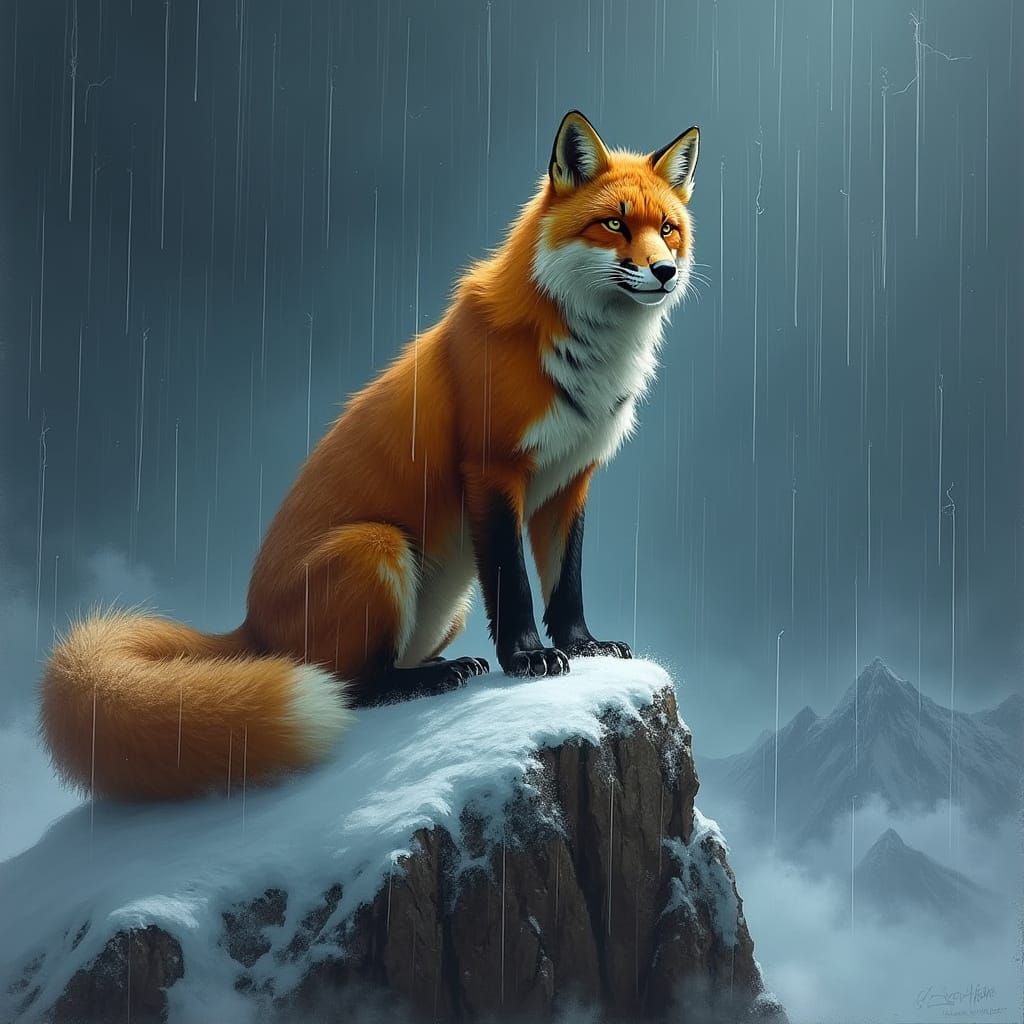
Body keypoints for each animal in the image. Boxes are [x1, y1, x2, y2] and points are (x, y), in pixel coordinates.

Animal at [41, 112, 700, 801]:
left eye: (667, 229)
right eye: (615, 225)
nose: (664, 272)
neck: (586, 360)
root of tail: (249, 627)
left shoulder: (571, 478)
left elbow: (566, 584)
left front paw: (584, 646)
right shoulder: (492, 468)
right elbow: (514, 583)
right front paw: (526, 658)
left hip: (446, 603)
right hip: (376, 546)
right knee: (351, 687)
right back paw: (430, 679)